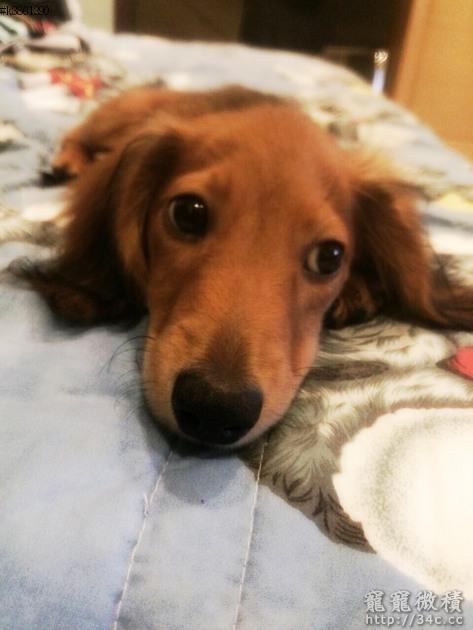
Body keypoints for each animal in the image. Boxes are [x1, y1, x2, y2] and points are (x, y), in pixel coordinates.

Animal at [20, 86, 473, 448]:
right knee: (77, 135)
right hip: (115, 116)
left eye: (330, 256)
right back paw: (66, 161)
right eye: (187, 213)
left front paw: (358, 289)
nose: (215, 409)